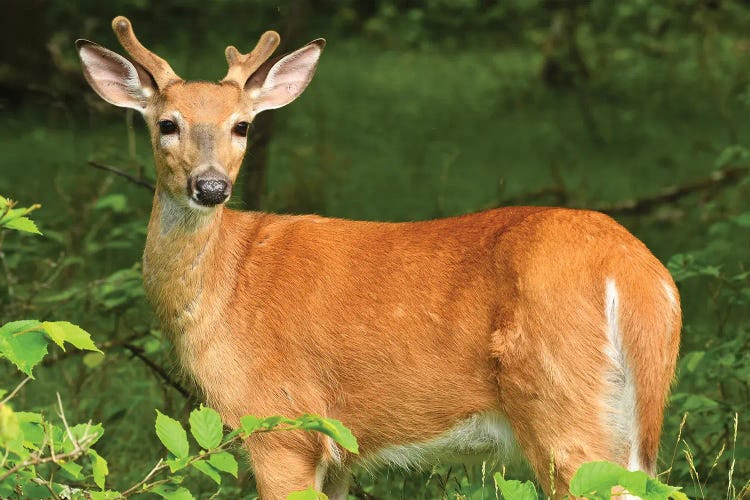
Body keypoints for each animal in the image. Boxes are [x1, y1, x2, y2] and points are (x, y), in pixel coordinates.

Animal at [76, 16, 680, 500]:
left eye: (241, 126)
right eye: (167, 123)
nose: (210, 186)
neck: (221, 288)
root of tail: (634, 273)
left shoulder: (282, 421)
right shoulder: (341, 446)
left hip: (562, 407)